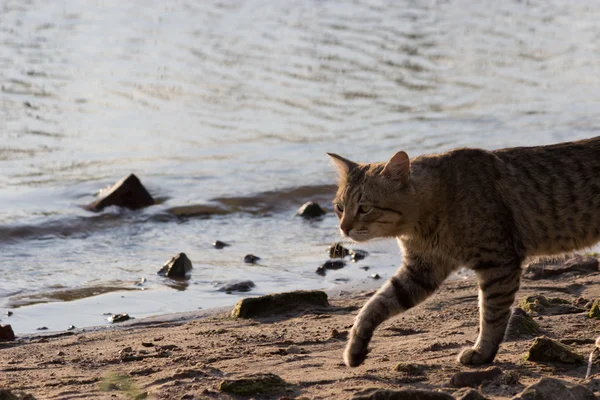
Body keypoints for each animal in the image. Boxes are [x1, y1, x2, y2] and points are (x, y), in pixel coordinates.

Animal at [328, 137, 600, 366]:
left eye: (364, 208)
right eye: (340, 207)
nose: (344, 228)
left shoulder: (498, 263)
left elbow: (491, 314)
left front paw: (482, 351)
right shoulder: (421, 270)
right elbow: (374, 305)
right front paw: (355, 348)